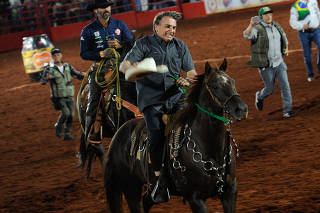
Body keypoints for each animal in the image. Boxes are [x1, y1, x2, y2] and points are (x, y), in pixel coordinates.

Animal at [104, 59, 249, 212]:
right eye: (214, 86)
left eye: (233, 82)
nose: (241, 109)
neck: (209, 149)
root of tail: (117, 136)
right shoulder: (194, 198)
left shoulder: (230, 192)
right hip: (131, 188)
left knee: (146, 200)